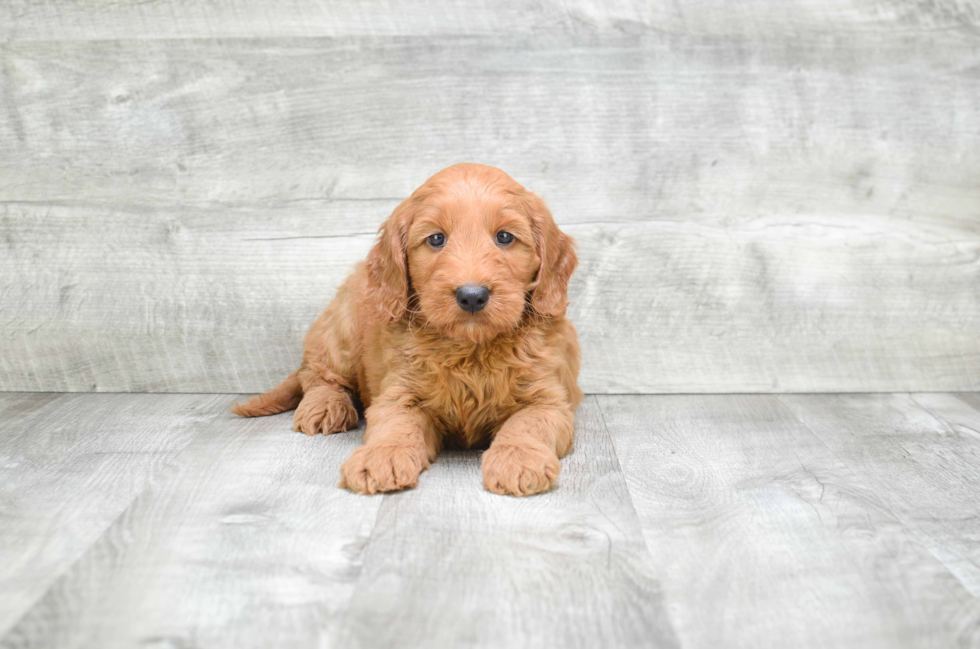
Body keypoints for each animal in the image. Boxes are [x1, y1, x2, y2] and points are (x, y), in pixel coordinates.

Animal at [233, 163, 580, 496]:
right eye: (436, 239)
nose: (472, 295)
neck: (470, 349)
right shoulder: (399, 395)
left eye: (505, 237)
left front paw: (518, 460)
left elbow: (528, 424)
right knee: (318, 375)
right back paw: (326, 406)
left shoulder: (549, 401)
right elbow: (396, 426)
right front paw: (381, 456)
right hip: (341, 328)